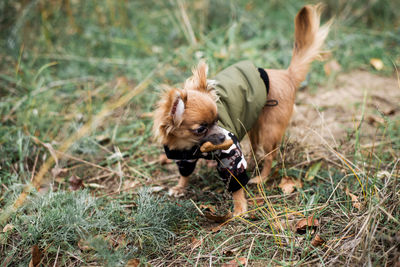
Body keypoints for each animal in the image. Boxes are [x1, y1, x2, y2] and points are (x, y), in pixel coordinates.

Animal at [152, 4, 330, 218]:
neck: (191, 146)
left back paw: (261, 178)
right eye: (200, 129)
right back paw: (253, 164)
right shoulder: (183, 158)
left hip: (269, 131)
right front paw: (180, 187)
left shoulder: (229, 155)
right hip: (253, 125)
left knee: (270, 157)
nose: (223, 136)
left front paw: (239, 209)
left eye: (218, 120)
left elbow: (236, 184)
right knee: (255, 150)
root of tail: (287, 75)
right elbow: (184, 173)